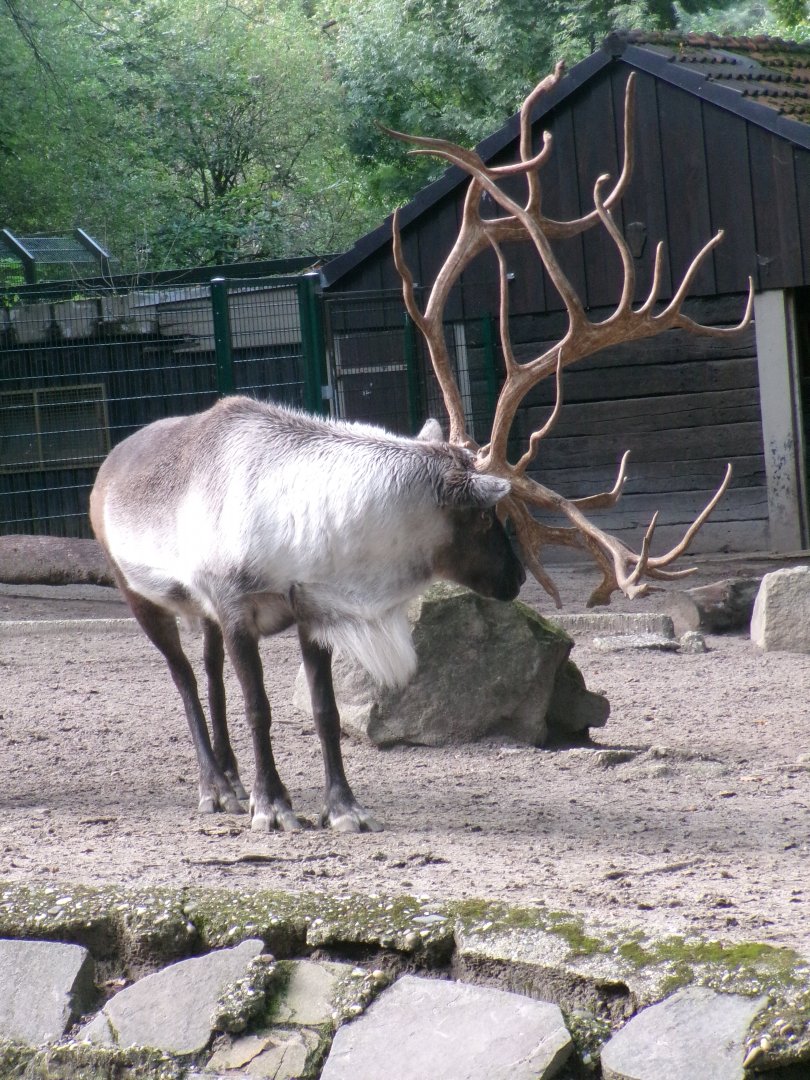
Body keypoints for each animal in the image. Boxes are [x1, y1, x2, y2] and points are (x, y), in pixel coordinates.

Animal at [89, 396, 525, 833]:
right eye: (483, 515)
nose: (518, 577)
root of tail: (107, 465)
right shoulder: (236, 613)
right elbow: (258, 710)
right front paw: (271, 805)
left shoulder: (311, 613)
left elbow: (325, 712)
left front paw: (344, 808)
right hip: (139, 597)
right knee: (185, 680)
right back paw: (214, 787)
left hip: (207, 616)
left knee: (213, 677)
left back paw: (231, 775)